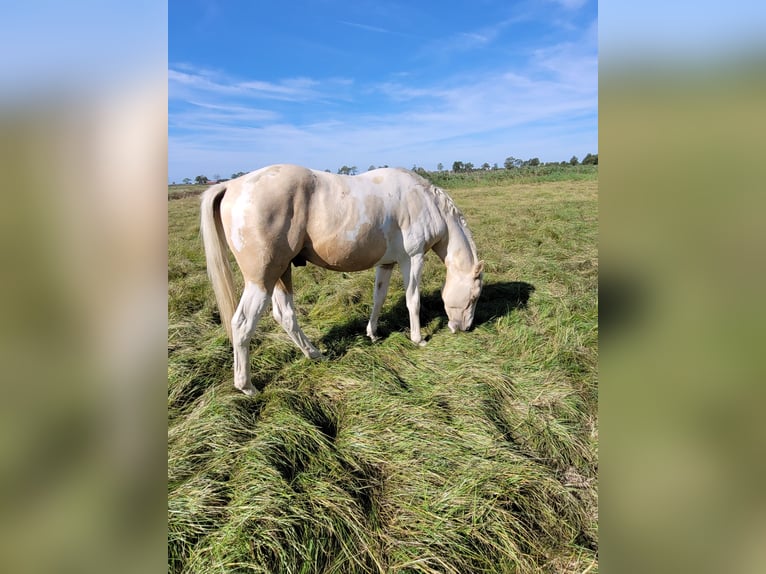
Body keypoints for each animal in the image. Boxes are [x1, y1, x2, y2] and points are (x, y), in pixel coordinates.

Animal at [200, 164, 483, 395]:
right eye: (473, 296)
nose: (464, 327)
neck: (423, 201)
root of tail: (231, 185)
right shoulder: (412, 259)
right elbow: (412, 300)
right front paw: (418, 339)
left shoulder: (386, 264)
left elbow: (378, 298)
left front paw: (373, 333)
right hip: (262, 280)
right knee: (242, 324)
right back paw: (247, 387)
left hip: (281, 273)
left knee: (286, 316)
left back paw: (315, 354)